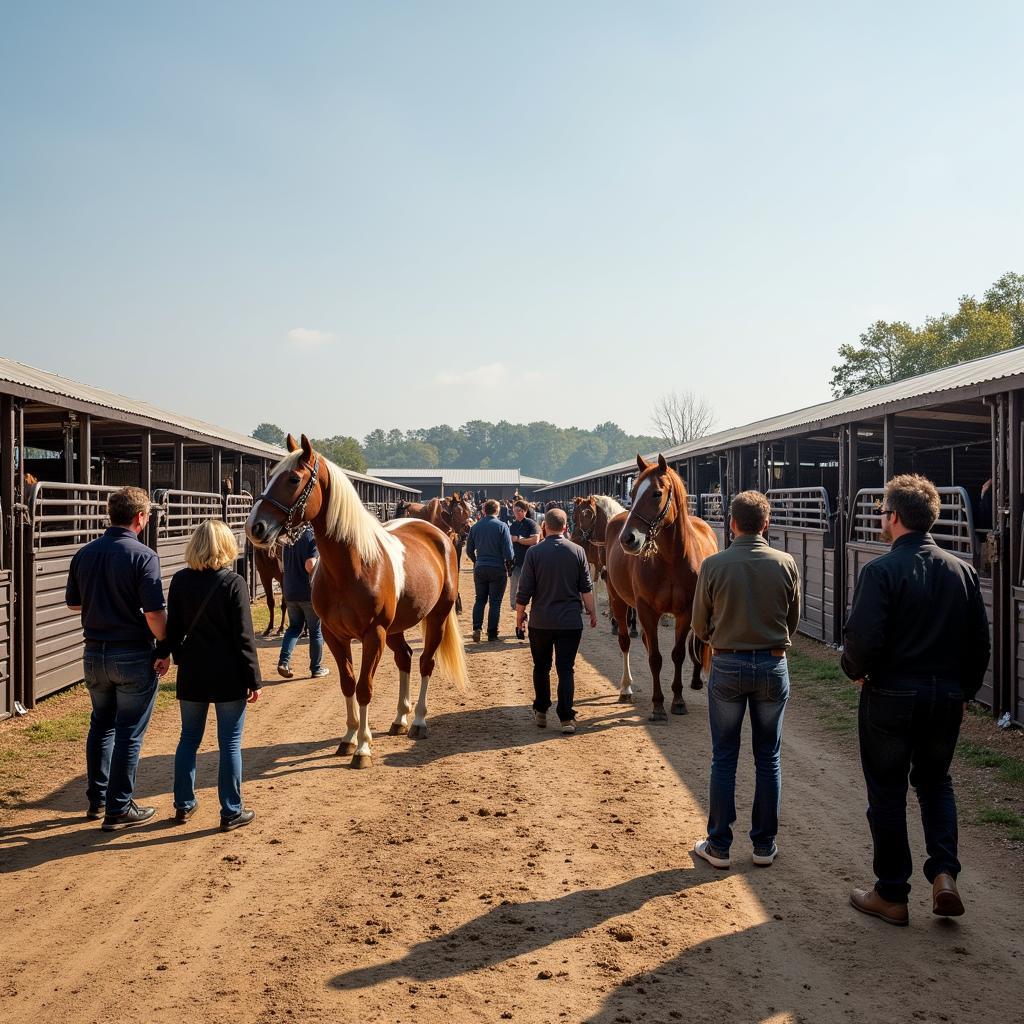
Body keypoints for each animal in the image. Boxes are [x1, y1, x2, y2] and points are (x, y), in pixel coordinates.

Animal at [243, 434, 468, 770]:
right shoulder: (335, 636)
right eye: (270, 476)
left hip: (437, 617)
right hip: (395, 629)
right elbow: (348, 683)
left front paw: (362, 748)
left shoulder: (372, 635)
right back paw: (400, 719)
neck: (352, 566)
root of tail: (439, 535)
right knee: (405, 657)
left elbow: (364, 688)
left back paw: (417, 722)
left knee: (425, 663)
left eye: (293, 478)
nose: (254, 527)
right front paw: (349, 738)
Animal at [602, 456, 716, 720]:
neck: (671, 560)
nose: (628, 539)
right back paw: (626, 688)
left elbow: (677, 654)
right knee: (625, 641)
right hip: (618, 601)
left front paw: (678, 700)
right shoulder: (646, 610)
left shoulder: (685, 612)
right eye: (632, 492)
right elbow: (655, 658)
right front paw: (657, 704)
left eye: (656, 493)